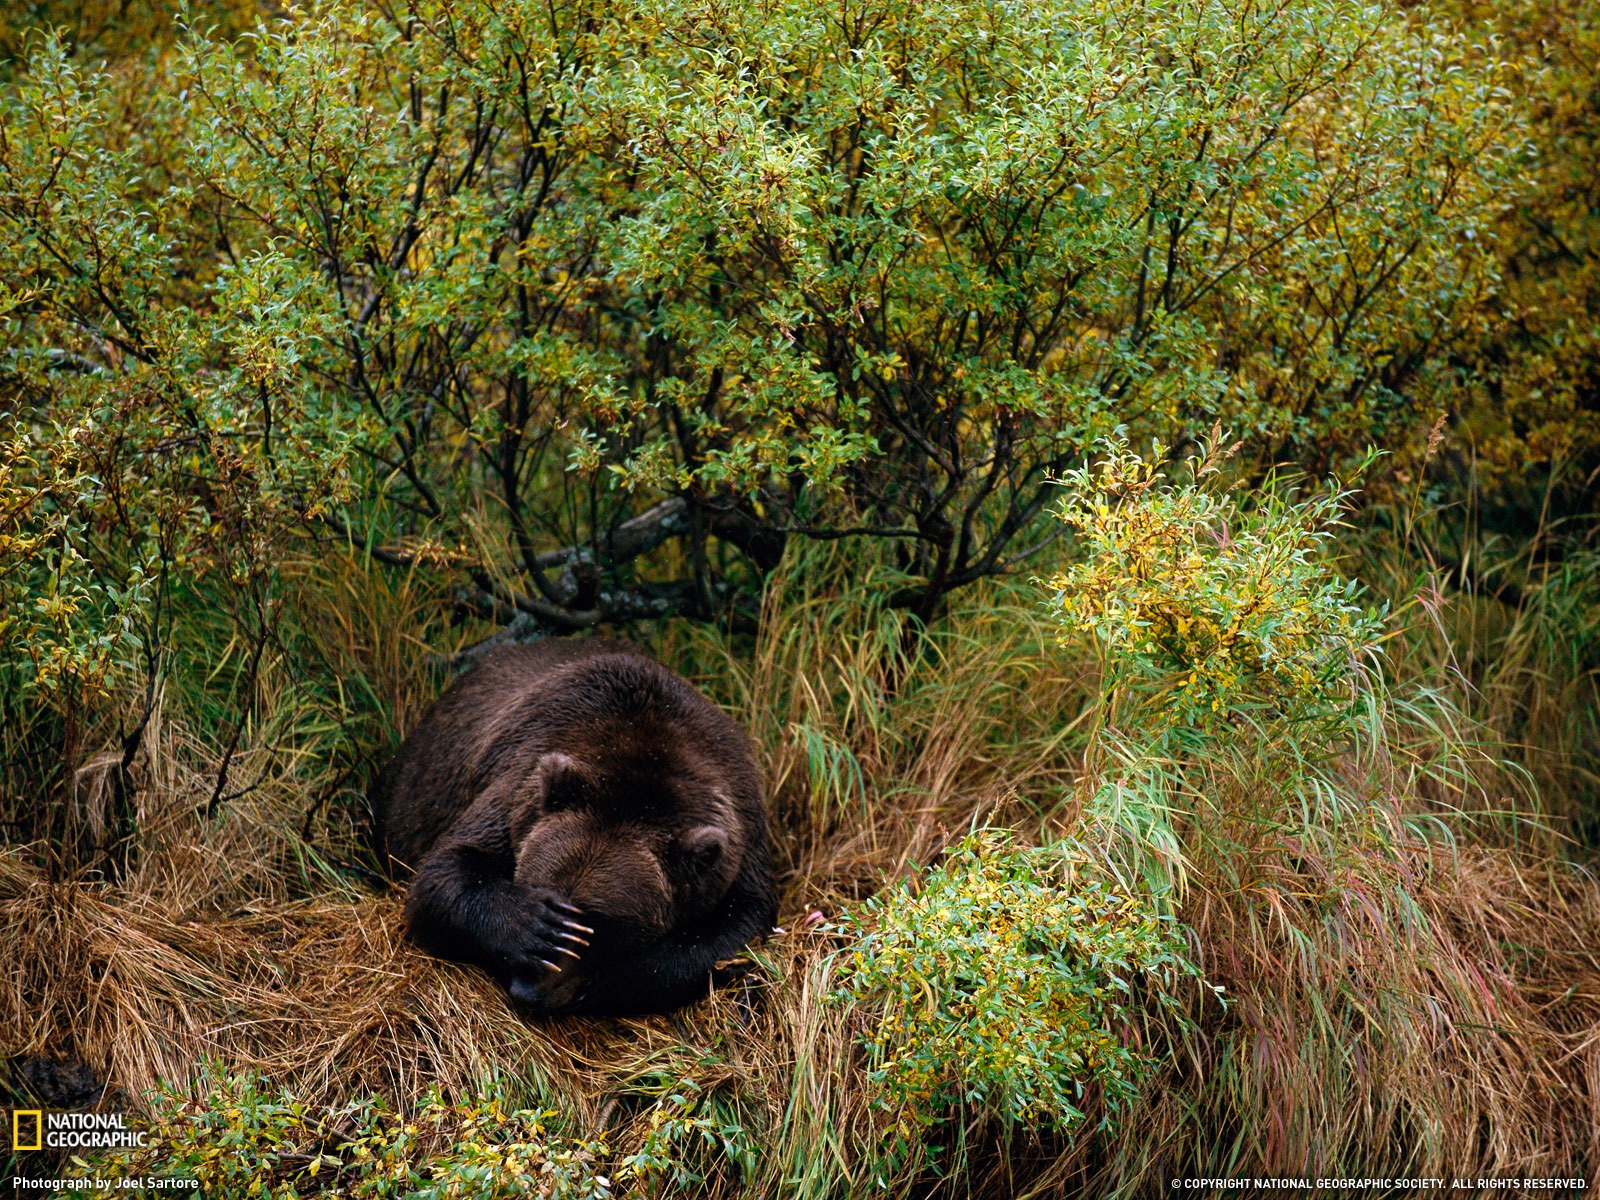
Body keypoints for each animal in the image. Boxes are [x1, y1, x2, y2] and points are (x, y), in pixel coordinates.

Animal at [374, 640, 774, 1017]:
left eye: (600, 922)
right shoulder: (521, 786)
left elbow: (739, 924)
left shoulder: (737, 832)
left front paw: (609, 980)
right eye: (539, 887)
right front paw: (534, 926)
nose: (529, 990)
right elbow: (445, 871)